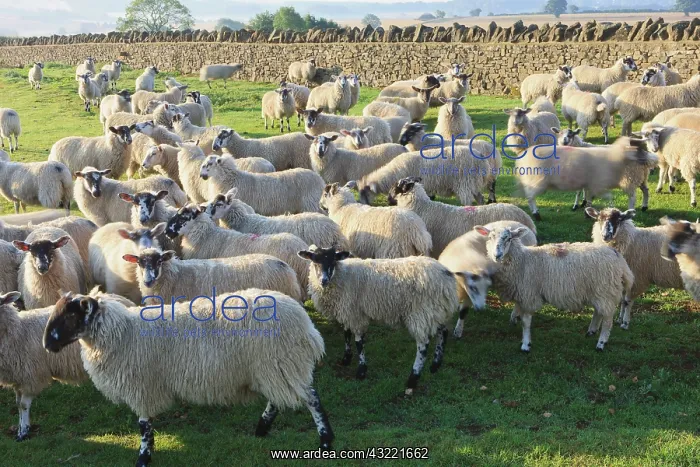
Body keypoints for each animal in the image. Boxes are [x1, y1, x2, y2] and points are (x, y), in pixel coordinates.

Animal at [43, 290, 334, 466]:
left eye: (70, 315)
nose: (47, 344)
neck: (121, 332)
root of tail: (305, 323)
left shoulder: (142, 385)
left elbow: (144, 426)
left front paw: (143, 457)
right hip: (274, 368)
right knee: (277, 399)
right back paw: (261, 429)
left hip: (281, 362)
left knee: (312, 399)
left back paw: (325, 440)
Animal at [298, 245, 459, 393]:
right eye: (314, 260)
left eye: (333, 261)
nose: (323, 280)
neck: (342, 276)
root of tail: (447, 277)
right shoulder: (347, 312)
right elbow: (346, 334)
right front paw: (346, 358)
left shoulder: (355, 314)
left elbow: (359, 342)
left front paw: (361, 370)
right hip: (436, 311)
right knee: (443, 332)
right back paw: (435, 365)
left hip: (421, 313)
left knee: (423, 345)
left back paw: (413, 379)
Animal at [360, 133, 493, 206]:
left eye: (365, 192)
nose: (362, 204)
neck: (393, 172)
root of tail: (481, 159)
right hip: (473, 183)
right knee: (480, 198)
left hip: (465, 183)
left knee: (468, 201)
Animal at [475, 223, 634, 352]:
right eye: (490, 237)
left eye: (508, 238)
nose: (497, 255)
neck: (522, 260)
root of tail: (618, 257)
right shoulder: (521, 294)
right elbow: (517, 313)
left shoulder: (529, 294)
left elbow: (526, 322)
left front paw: (526, 345)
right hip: (599, 292)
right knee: (598, 312)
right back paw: (591, 331)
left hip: (605, 290)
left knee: (607, 320)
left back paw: (601, 343)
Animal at [515, 137, 657, 220]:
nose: (653, 158)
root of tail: (523, 157)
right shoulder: (597, 184)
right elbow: (606, 197)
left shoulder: (593, 184)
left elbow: (590, 198)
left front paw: (587, 211)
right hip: (537, 181)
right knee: (530, 196)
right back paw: (536, 213)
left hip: (638, 179)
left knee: (644, 191)